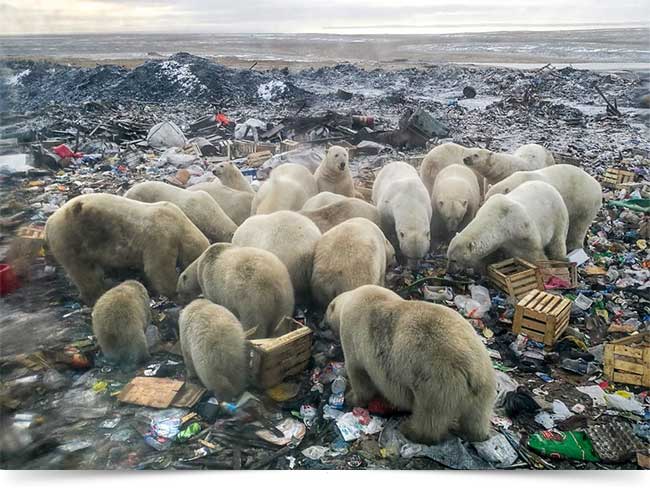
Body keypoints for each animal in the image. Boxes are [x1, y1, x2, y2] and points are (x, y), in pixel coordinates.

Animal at [45, 193, 208, 304]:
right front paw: (178, 295)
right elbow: (158, 269)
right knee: (83, 272)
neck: (181, 224)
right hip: (71, 238)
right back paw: (97, 294)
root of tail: (49, 222)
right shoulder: (162, 237)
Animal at [324, 284, 496, 444]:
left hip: (436, 382)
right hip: (484, 385)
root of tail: (473, 371)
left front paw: (351, 397)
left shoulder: (353, 337)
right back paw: (476, 434)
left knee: (429, 415)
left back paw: (410, 430)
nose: (322, 324)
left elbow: (360, 375)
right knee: (477, 415)